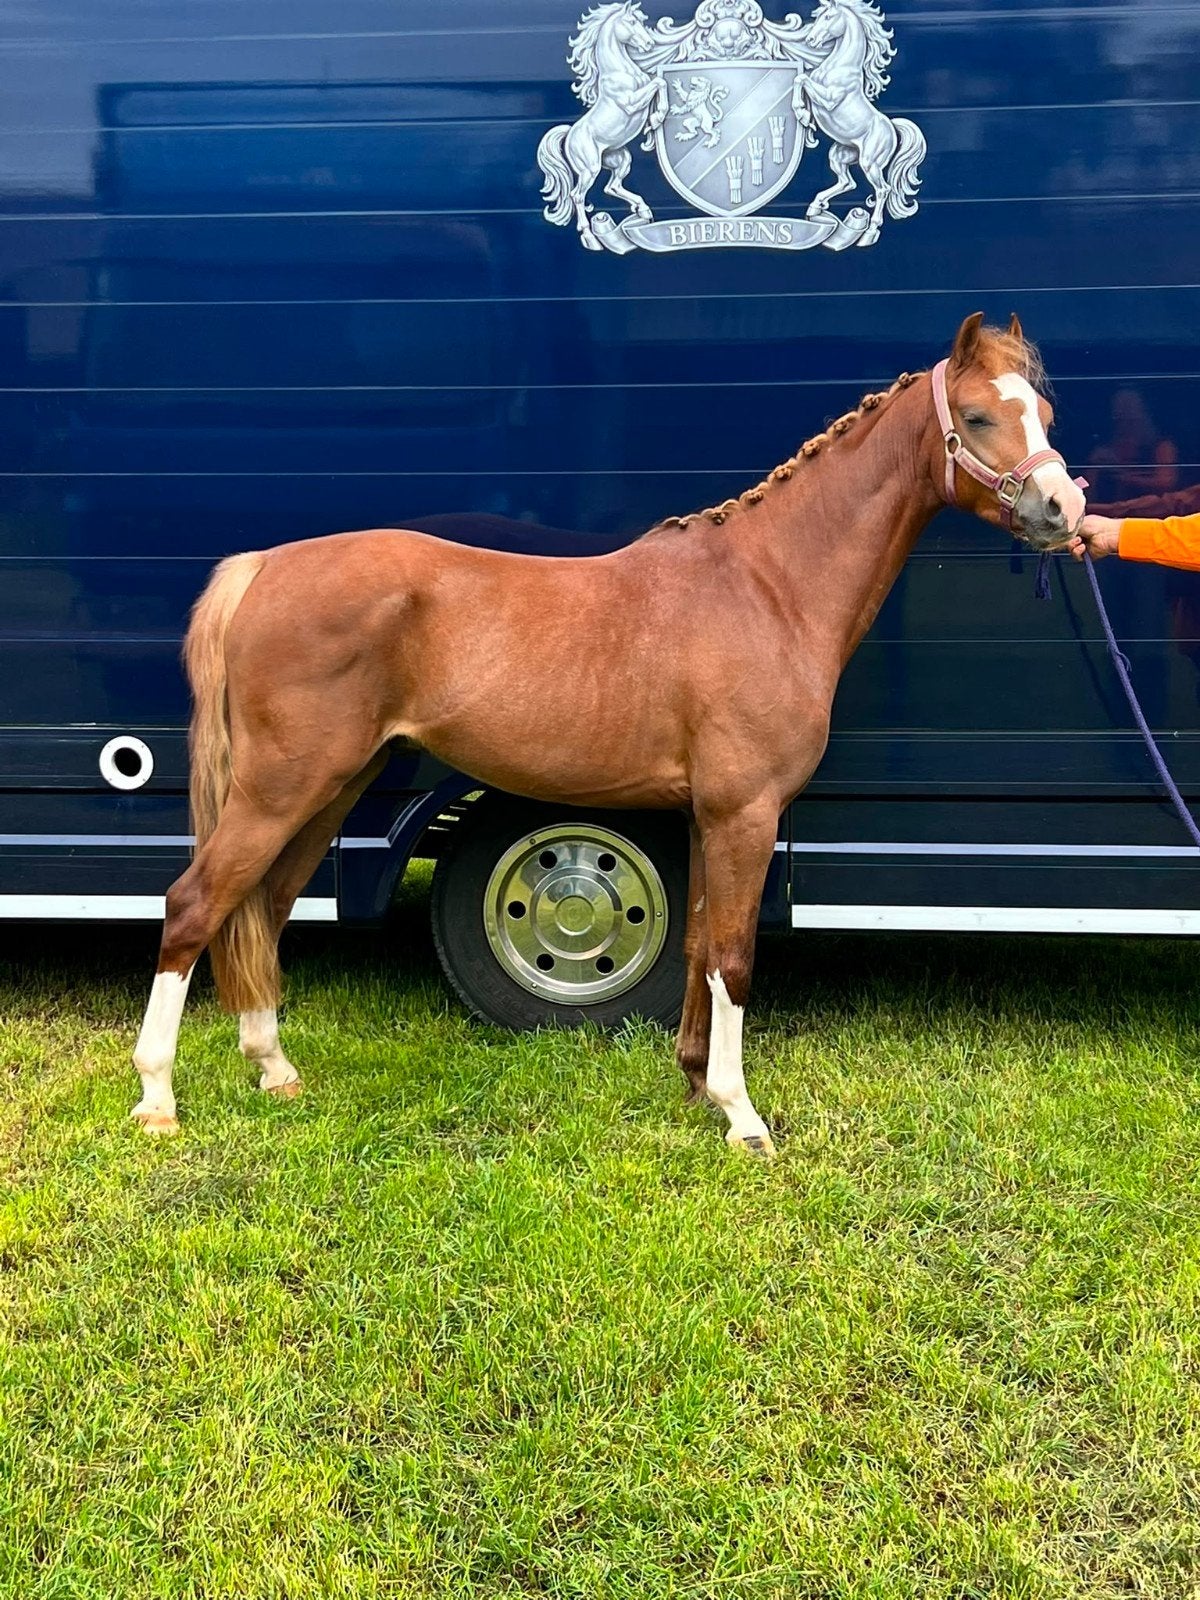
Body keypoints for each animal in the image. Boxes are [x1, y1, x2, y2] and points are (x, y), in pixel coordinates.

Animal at [130, 315, 1085, 1147]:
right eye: (977, 416)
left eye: (1043, 414)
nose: (1062, 509)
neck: (769, 587)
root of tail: (262, 568)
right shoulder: (745, 814)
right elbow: (733, 956)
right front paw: (742, 1118)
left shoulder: (706, 816)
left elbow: (699, 944)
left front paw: (696, 1083)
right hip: (282, 787)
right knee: (195, 904)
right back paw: (157, 1101)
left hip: (331, 787)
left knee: (263, 908)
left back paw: (274, 1069)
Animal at [537, 3, 667, 250]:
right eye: (632, 22)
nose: (649, 44)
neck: (621, 71)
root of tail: (569, 135)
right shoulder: (630, 102)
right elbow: (659, 81)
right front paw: (658, 118)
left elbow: (657, 83)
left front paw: (655, 120)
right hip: (590, 168)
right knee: (577, 195)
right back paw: (589, 237)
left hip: (620, 158)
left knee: (611, 187)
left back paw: (643, 209)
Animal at [796, 0, 926, 247]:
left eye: (828, 17)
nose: (811, 41)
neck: (839, 67)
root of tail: (892, 129)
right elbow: (803, 80)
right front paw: (804, 116)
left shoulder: (829, 99)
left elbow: (801, 78)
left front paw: (800, 113)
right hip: (839, 155)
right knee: (848, 183)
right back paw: (816, 206)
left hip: (870, 162)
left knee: (883, 189)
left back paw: (869, 232)